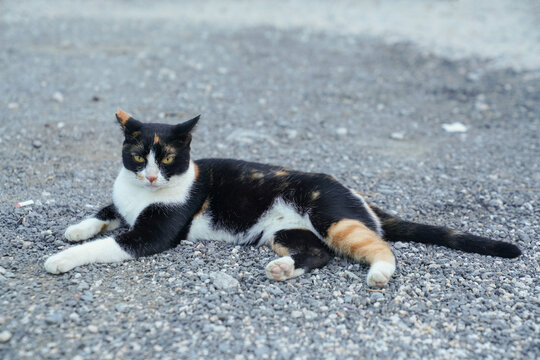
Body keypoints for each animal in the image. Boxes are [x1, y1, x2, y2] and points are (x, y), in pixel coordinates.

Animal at [44, 109, 520, 286]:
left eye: (170, 158)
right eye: (139, 155)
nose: (151, 175)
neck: (140, 195)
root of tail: (356, 194)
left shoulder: (153, 234)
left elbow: (108, 244)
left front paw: (62, 259)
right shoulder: (122, 203)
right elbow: (104, 212)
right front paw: (76, 228)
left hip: (331, 216)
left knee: (377, 246)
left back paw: (380, 273)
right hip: (285, 232)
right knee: (319, 253)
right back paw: (282, 268)